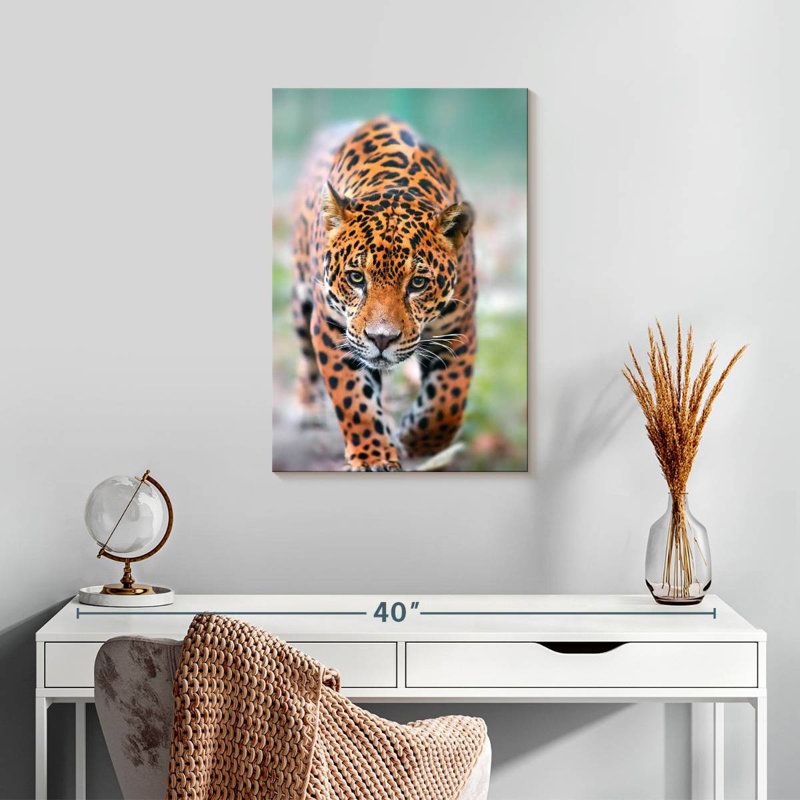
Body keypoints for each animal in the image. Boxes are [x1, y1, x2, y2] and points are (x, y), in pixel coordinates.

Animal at [289, 115, 477, 471]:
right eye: (355, 278)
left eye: (417, 283)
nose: (381, 339)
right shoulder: (332, 328)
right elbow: (353, 400)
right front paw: (373, 456)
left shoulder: (459, 330)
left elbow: (446, 403)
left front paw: (414, 440)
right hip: (300, 299)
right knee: (305, 354)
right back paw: (306, 407)